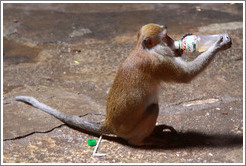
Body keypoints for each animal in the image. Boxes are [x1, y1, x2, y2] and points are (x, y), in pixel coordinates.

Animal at [14, 22, 231, 146]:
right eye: (166, 37)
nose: (174, 43)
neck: (144, 49)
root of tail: (109, 123)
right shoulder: (159, 63)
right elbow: (186, 76)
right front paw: (219, 43)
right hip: (130, 129)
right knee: (152, 108)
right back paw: (141, 141)